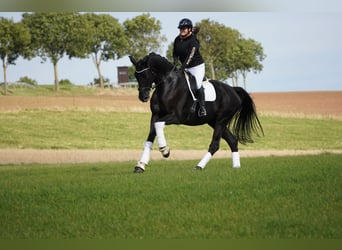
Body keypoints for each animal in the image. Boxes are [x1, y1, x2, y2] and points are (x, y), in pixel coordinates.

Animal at [130, 52, 264, 173]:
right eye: (136, 76)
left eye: (146, 74)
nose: (143, 97)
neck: (168, 85)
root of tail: (233, 90)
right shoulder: (155, 115)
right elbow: (150, 138)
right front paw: (140, 165)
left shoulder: (176, 117)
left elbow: (158, 125)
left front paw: (165, 150)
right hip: (214, 122)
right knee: (232, 140)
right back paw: (236, 166)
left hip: (221, 120)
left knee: (215, 144)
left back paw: (199, 166)